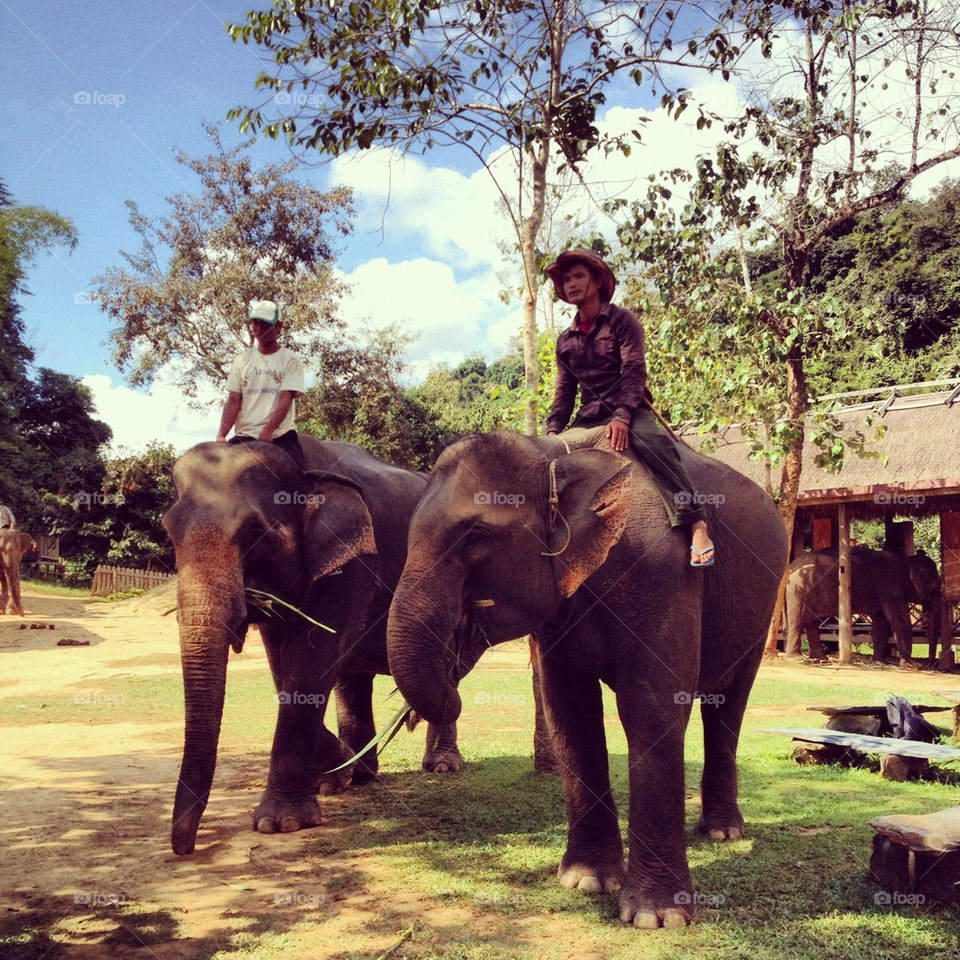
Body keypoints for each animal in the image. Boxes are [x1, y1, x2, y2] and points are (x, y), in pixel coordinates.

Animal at [163, 437, 466, 856]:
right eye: (169, 532)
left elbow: (310, 661)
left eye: (255, 535)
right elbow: (283, 665)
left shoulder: (350, 562)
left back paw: (440, 765)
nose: (187, 848)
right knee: (353, 679)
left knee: (443, 667)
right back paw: (360, 773)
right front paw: (336, 776)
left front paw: (280, 823)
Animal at [386, 427, 787, 929]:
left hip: (761, 606)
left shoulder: (661, 571)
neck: (552, 456)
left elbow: (651, 705)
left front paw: (656, 917)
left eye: (475, 536)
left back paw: (722, 832)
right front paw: (586, 882)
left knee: (728, 703)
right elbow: (569, 708)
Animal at [784, 547, 940, 667]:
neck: (906, 561)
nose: (929, 665)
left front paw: (880, 663)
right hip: (798, 590)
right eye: (935, 583)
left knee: (812, 622)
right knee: (798, 621)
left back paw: (821, 659)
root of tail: (792, 567)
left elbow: (881, 623)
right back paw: (796, 658)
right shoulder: (890, 588)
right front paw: (912, 665)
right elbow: (900, 620)